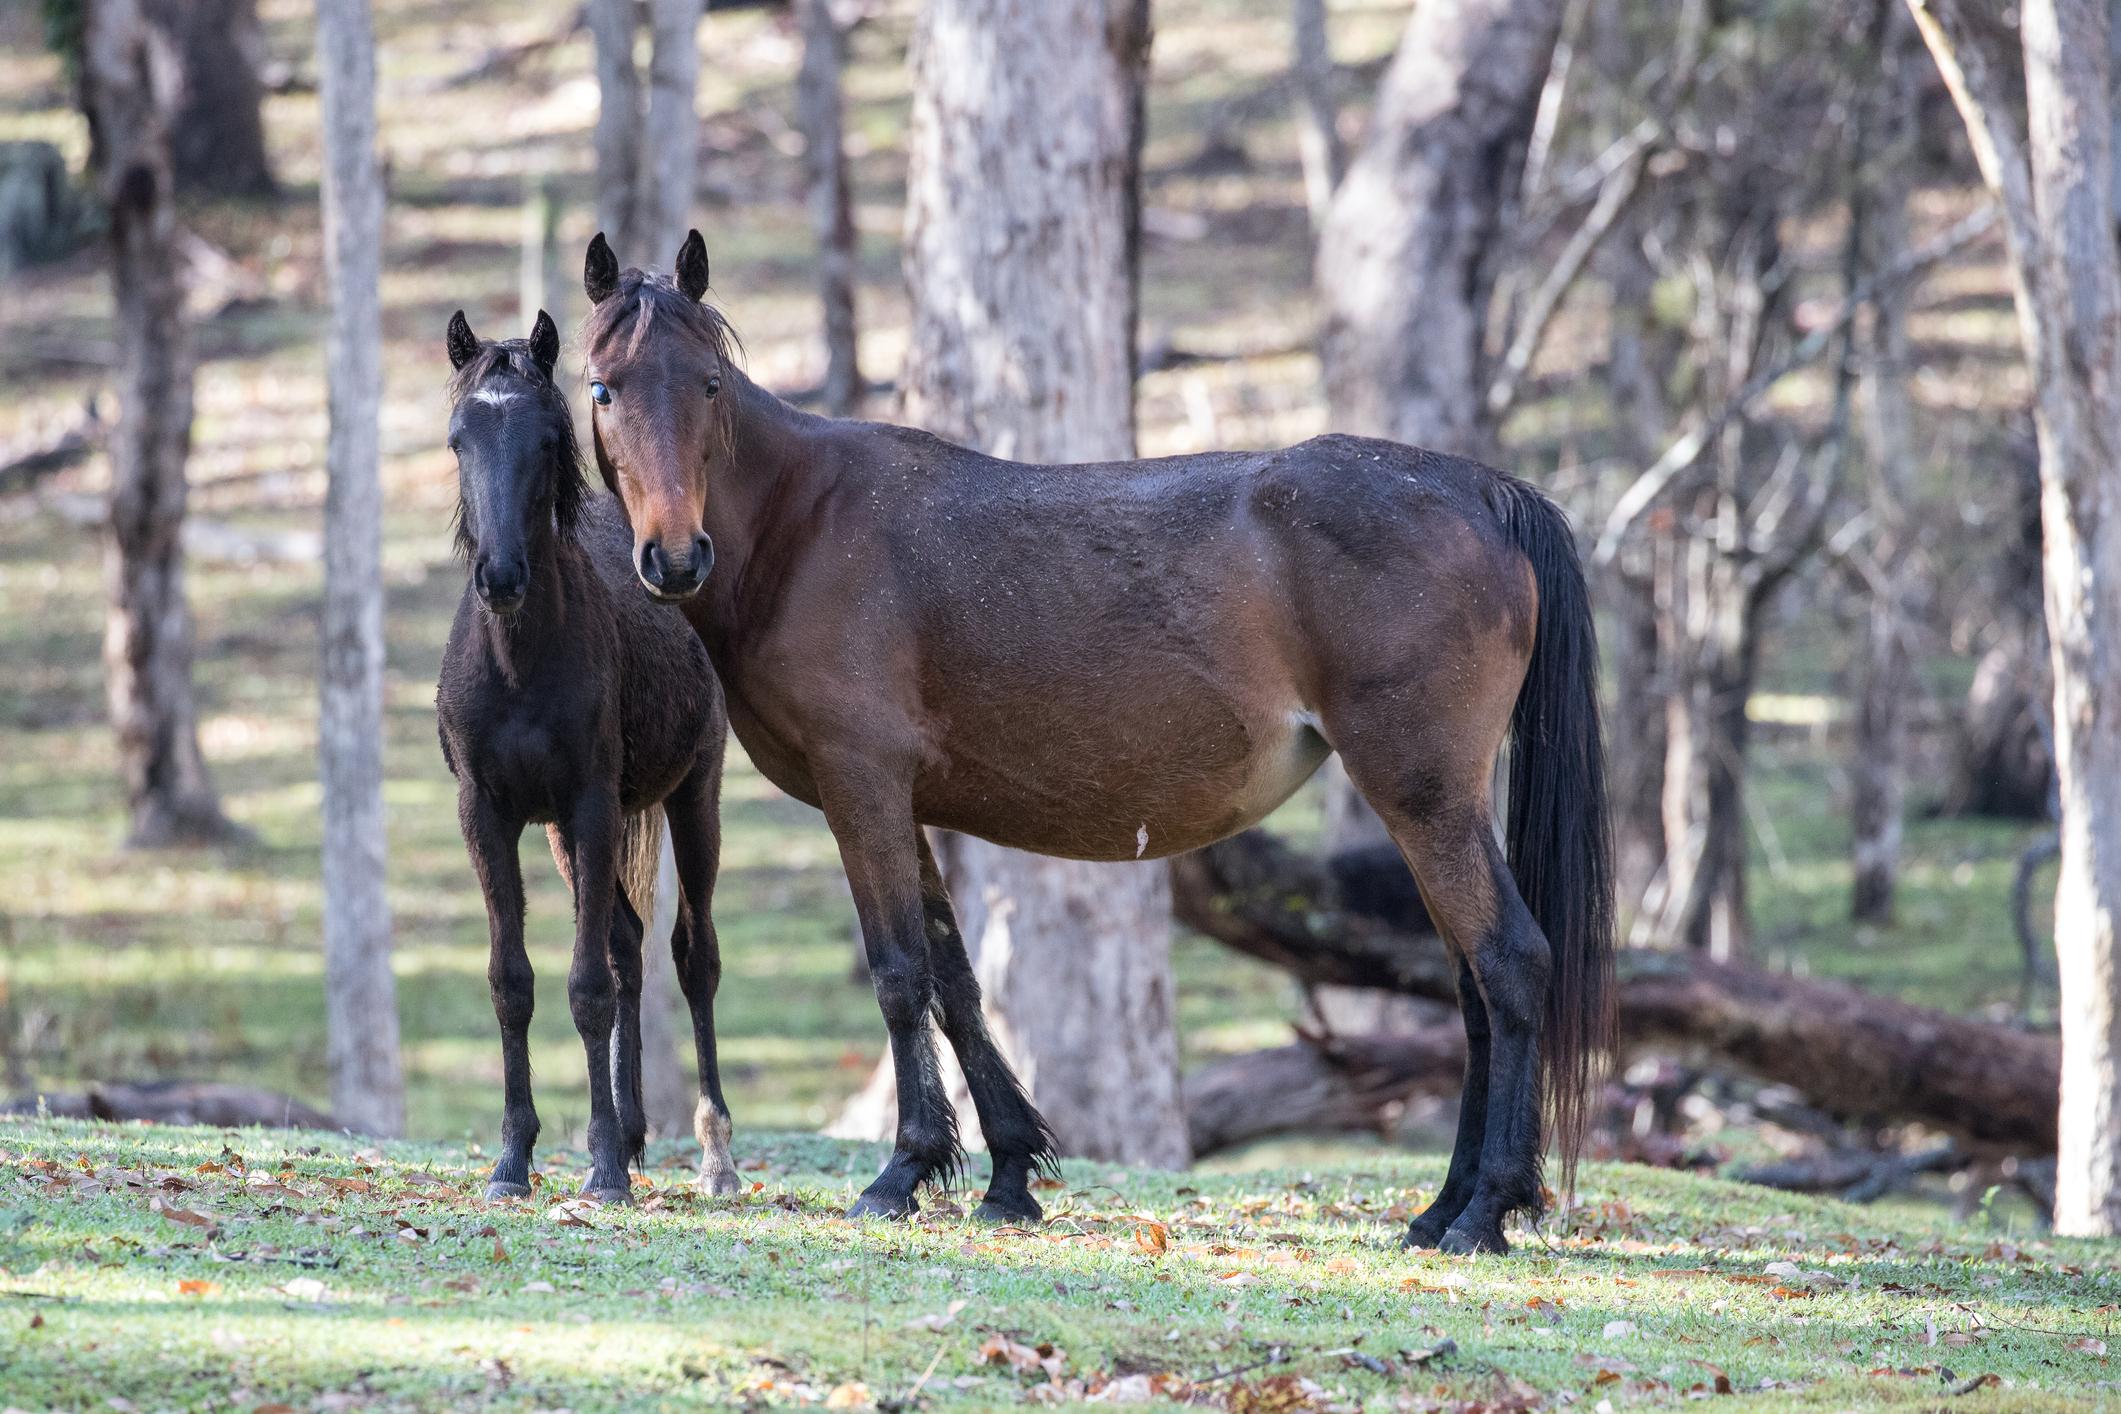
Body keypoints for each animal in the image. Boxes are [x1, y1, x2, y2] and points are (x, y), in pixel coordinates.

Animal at [576, 235, 1603, 1263]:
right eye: (603, 388)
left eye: (710, 383)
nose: (676, 558)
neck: (803, 522)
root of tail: (1478, 487)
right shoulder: (900, 805)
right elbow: (956, 983)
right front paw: (1005, 1173)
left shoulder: (858, 787)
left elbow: (901, 976)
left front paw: (902, 1172)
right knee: (1471, 986)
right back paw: (1439, 1209)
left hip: (1422, 797)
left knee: (1509, 964)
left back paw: (1484, 1209)